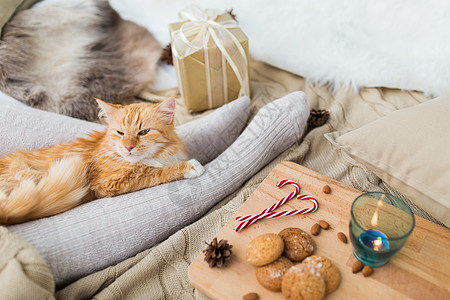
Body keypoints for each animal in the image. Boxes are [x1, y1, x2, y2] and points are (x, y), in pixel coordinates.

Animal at [0, 98, 204, 225]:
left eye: (144, 132)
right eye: (120, 133)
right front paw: (190, 166)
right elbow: (155, 171)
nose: (128, 147)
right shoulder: (109, 182)